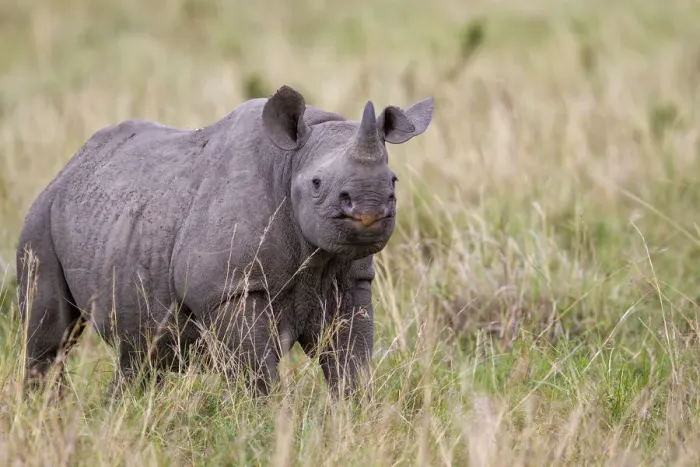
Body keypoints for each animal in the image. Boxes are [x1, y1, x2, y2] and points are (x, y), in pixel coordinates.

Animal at [16, 85, 433, 398]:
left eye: (393, 182)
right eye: (316, 184)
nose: (369, 208)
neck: (290, 164)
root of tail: (69, 166)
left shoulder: (349, 279)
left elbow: (350, 361)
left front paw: (354, 416)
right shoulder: (229, 288)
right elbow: (257, 373)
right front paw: (268, 426)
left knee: (139, 355)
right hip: (40, 218)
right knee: (49, 338)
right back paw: (44, 413)